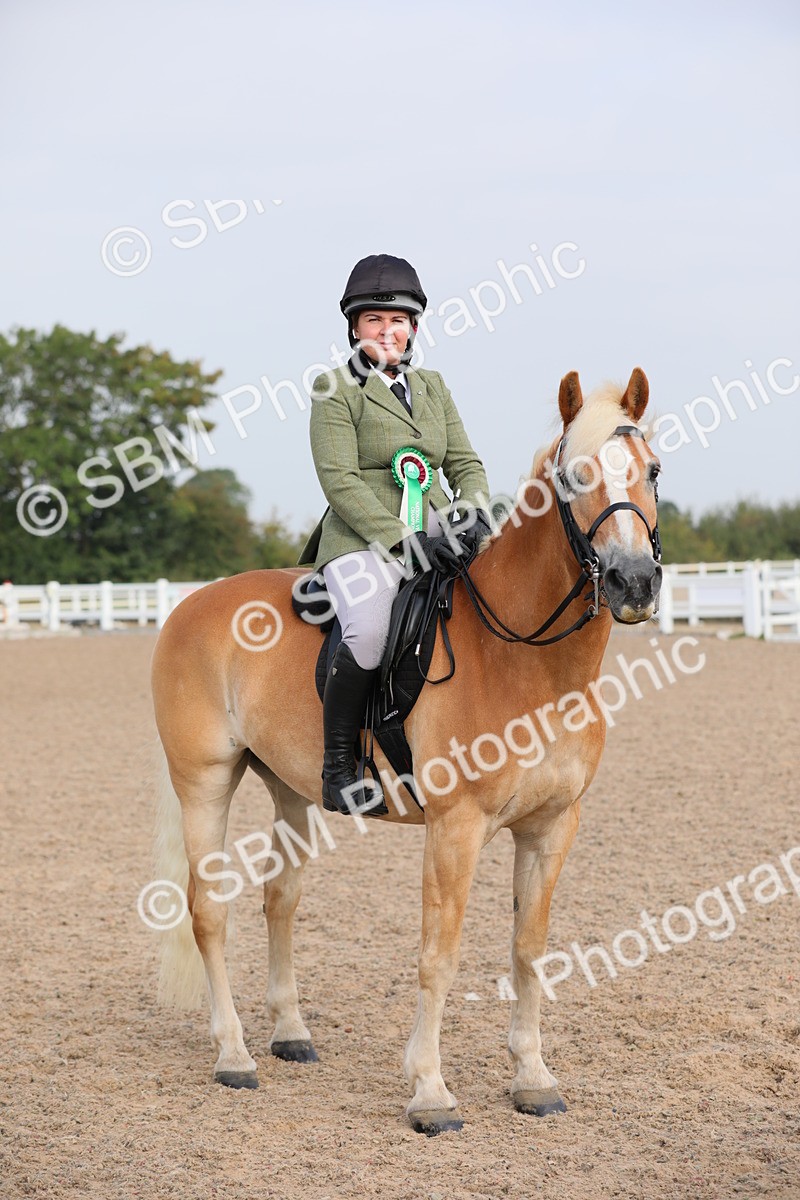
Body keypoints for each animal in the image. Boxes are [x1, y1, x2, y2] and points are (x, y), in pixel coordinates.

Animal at [150, 367, 662, 1135]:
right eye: (575, 476)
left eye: (653, 470)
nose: (635, 582)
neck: (528, 661)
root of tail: (189, 606)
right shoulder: (455, 829)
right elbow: (437, 956)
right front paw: (429, 1092)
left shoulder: (552, 827)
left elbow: (529, 951)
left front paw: (533, 1078)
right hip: (205, 783)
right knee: (210, 910)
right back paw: (234, 1055)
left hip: (291, 791)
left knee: (281, 900)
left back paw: (289, 1034)